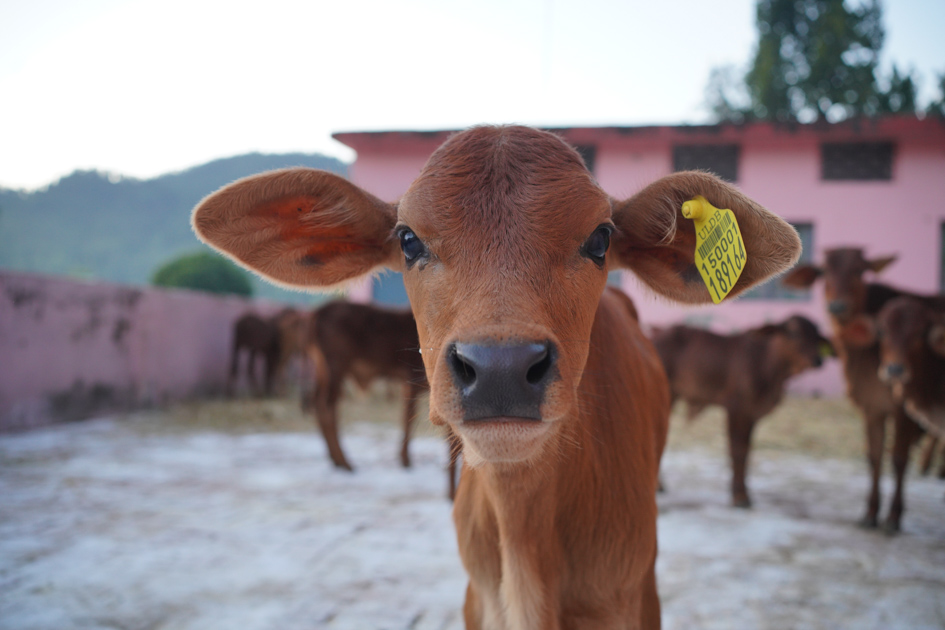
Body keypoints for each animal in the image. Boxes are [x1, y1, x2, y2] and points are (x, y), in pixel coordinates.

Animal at [652, 316, 828, 508]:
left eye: (816, 335)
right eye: (793, 332)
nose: (817, 360)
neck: (768, 366)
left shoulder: (752, 413)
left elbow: (747, 449)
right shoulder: (736, 408)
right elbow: (738, 450)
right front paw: (740, 496)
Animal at [780, 247, 944, 532]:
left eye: (859, 270)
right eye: (824, 271)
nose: (837, 306)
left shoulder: (902, 409)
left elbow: (898, 458)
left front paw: (893, 517)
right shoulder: (871, 406)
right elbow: (874, 456)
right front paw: (870, 513)